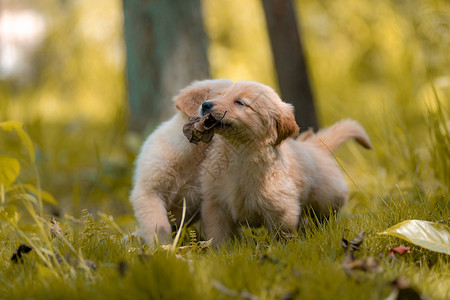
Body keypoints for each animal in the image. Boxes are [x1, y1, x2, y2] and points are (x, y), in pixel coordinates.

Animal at [130, 78, 234, 245]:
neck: (195, 153)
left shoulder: (207, 198)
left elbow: (216, 228)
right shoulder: (149, 191)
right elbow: (157, 225)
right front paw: (163, 247)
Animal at [199, 80, 370, 246]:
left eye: (240, 102)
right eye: (222, 95)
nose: (205, 105)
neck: (238, 152)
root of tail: (313, 147)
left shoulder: (281, 209)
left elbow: (281, 236)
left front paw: (280, 250)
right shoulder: (215, 205)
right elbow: (219, 235)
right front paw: (221, 251)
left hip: (327, 199)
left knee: (326, 216)